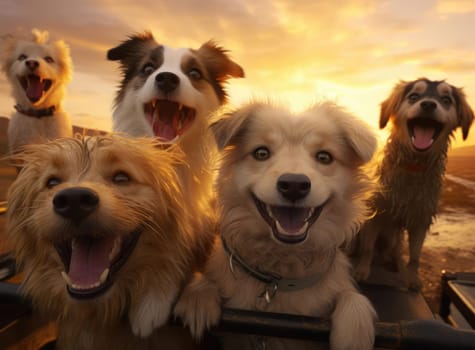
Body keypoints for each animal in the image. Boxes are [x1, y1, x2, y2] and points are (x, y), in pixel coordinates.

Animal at [175, 100, 380, 350]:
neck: (279, 277)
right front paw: (199, 297)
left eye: (324, 157)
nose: (294, 185)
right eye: (261, 153)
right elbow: (205, 279)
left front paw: (353, 333)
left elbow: (352, 296)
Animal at [356, 78, 474, 288]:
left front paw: (412, 278)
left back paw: (395, 263)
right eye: (414, 96)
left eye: (446, 100)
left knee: (395, 250)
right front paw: (362, 271)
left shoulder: (421, 218)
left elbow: (415, 256)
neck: (413, 164)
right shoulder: (375, 212)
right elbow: (367, 248)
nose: (428, 105)